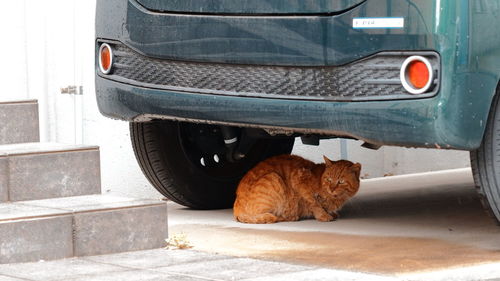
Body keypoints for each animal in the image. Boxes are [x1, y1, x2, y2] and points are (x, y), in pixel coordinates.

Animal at [232, 153, 362, 223]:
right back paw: (291, 217)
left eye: (341, 182)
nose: (332, 188)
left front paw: (330, 212)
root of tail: (236, 209)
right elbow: (313, 202)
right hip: (274, 178)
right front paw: (323, 215)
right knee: (272, 217)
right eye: (329, 179)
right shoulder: (298, 180)